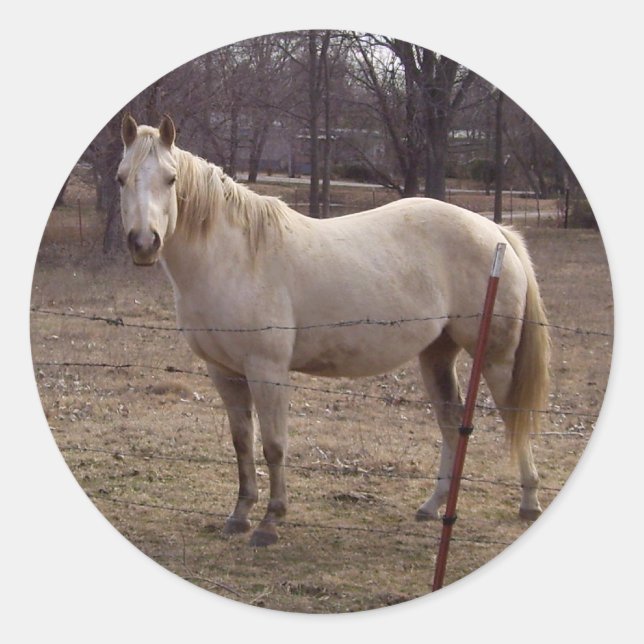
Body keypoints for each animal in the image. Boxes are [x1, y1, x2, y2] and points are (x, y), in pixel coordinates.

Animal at [117, 114, 550, 547]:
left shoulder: (267, 371)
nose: (143, 243)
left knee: (514, 418)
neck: (235, 257)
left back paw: (529, 502)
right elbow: (242, 444)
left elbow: (274, 445)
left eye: (171, 178)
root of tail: (496, 232)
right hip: (437, 356)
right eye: (121, 178)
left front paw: (270, 521)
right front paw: (239, 515)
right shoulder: (224, 372)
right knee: (450, 424)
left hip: (495, 359)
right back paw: (432, 506)